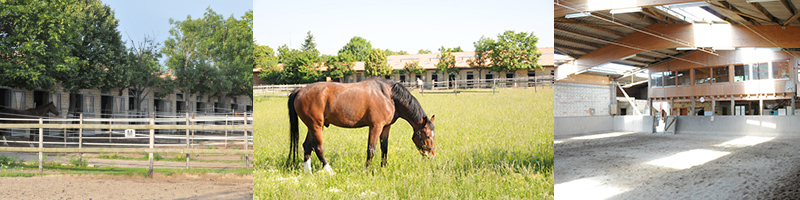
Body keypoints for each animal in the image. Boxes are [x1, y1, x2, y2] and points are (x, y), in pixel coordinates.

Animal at [286, 77, 438, 173]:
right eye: (427, 135)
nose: (431, 155)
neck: (388, 95)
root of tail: (299, 91)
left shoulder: (386, 127)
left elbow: (384, 148)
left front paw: (383, 168)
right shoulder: (375, 126)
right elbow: (371, 149)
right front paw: (367, 170)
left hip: (312, 126)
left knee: (307, 146)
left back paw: (308, 172)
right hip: (316, 126)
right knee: (318, 148)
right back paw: (329, 170)